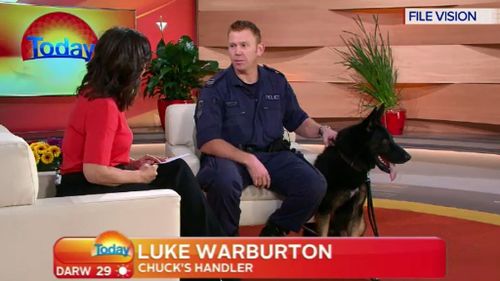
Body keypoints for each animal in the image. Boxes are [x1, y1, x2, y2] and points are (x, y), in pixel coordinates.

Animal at [310, 105, 412, 236]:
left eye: (392, 139)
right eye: (385, 141)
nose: (408, 157)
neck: (350, 162)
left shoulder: (356, 211)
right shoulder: (325, 210)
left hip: (362, 223)